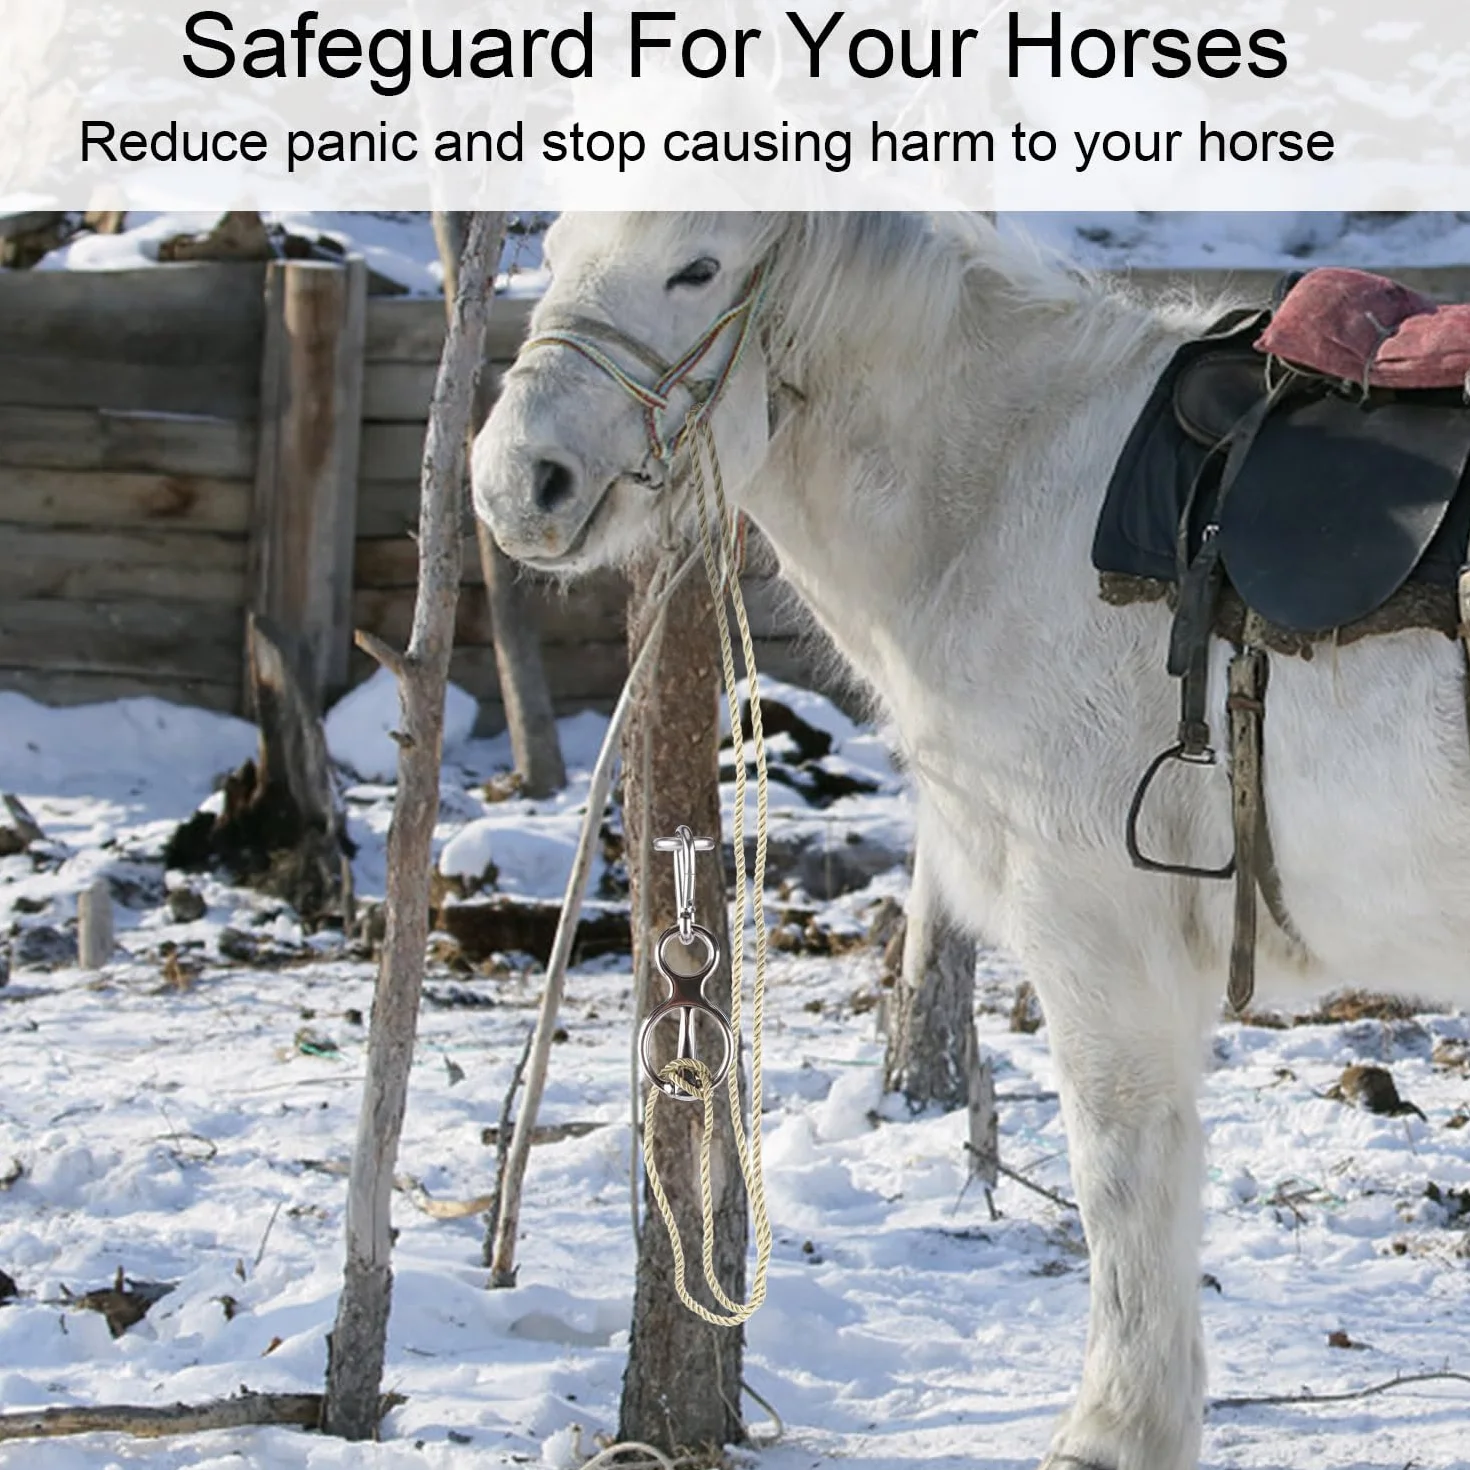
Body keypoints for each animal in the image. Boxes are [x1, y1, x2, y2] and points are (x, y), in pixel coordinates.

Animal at [469, 211, 1470, 1470]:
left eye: (695, 267)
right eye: (551, 252)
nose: (518, 483)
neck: (1008, 499)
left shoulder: (1098, 931)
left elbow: (1122, 1177)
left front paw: (1116, 1432)